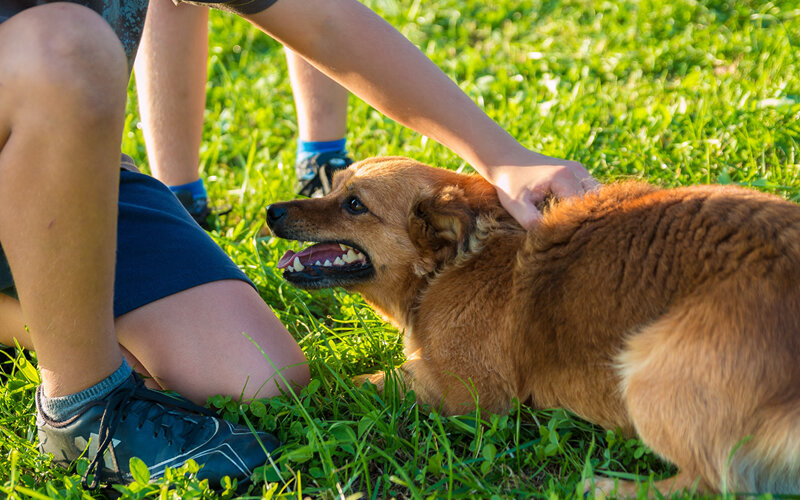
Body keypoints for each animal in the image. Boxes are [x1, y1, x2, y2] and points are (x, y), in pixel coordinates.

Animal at [268, 156, 800, 496]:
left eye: (354, 205)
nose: (271, 211)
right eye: (334, 186)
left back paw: (604, 487)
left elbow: (363, 380)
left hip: (648, 370)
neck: (456, 262)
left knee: (715, 484)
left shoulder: (466, 395)